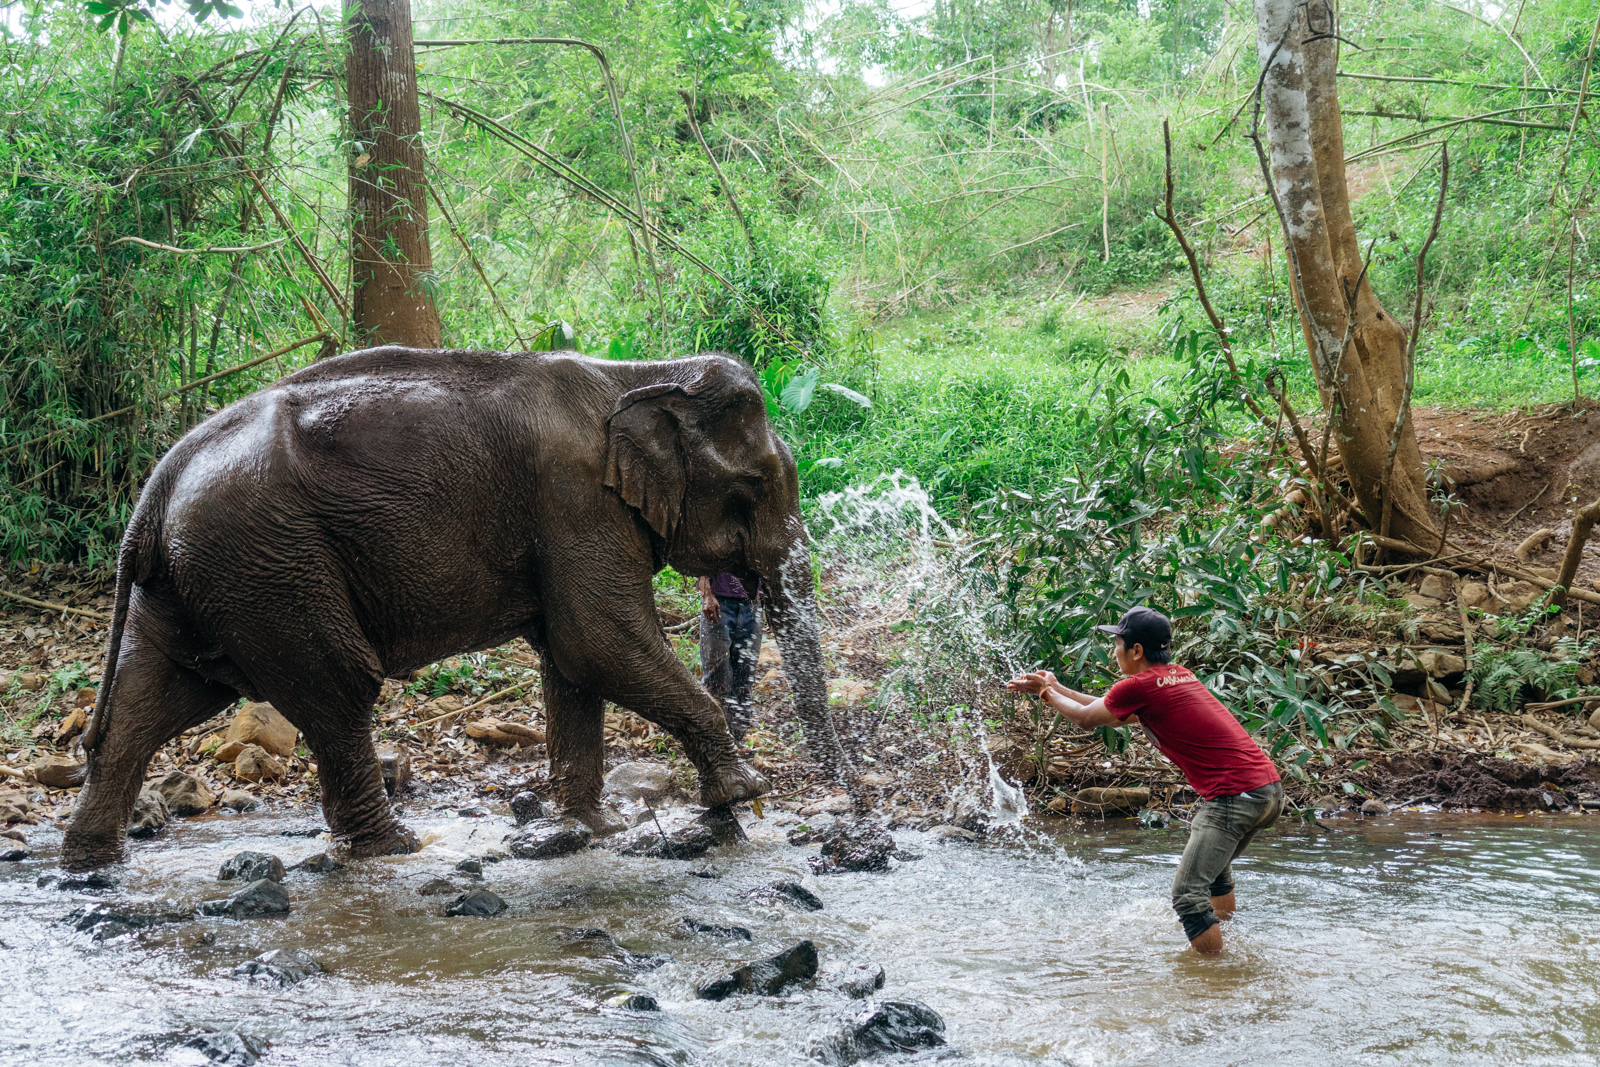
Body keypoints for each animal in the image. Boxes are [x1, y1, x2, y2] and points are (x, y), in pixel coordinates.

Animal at [62, 347, 857, 870]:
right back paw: (395, 847)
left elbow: (572, 663)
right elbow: (599, 642)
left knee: (153, 698)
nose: (844, 792)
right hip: (268, 566)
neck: (636, 374)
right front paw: (741, 795)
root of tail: (160, 481)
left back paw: (89, 860)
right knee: (337, 687)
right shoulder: (576, 504)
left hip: (205, 577)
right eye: (756, 485)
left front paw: (591, 828)